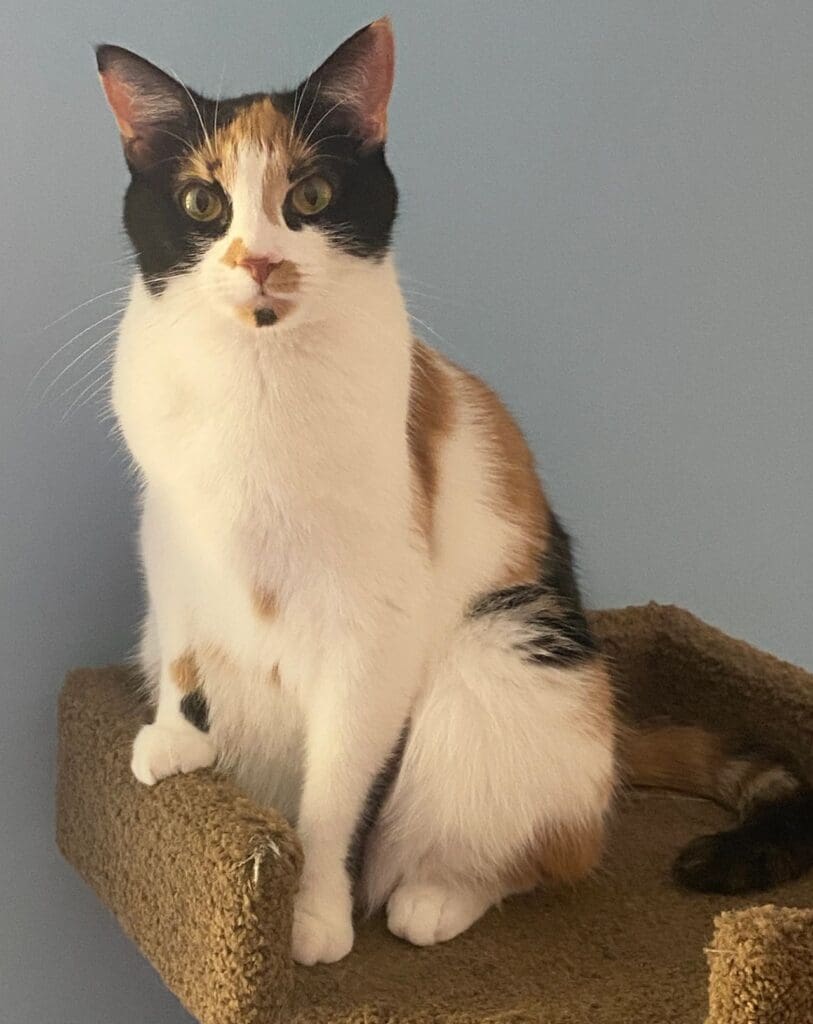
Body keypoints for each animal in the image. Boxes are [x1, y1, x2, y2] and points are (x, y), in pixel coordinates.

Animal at [96, 16, 810, 962]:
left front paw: (313, 917)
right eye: (202, 205)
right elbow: (183, 648)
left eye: (312, 195)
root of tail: (612, 738)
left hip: (497, 662)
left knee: (540, 847)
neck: (257, 373)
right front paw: (175, 741)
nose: (260, 261)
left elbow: (334, 799)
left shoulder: (371, 628)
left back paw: (431, 898)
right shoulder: (171, 537)